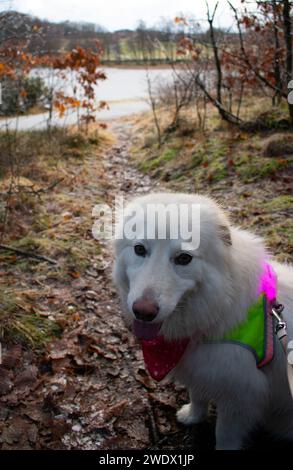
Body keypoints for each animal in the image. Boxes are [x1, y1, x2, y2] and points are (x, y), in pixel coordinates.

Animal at [112, 193, 292, 450]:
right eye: (139, 249)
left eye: (184, 258)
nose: (143, 312)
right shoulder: (200, 372)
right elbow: (197, 396)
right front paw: (192, 416)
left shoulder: (239, 397)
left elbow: (225, 436)